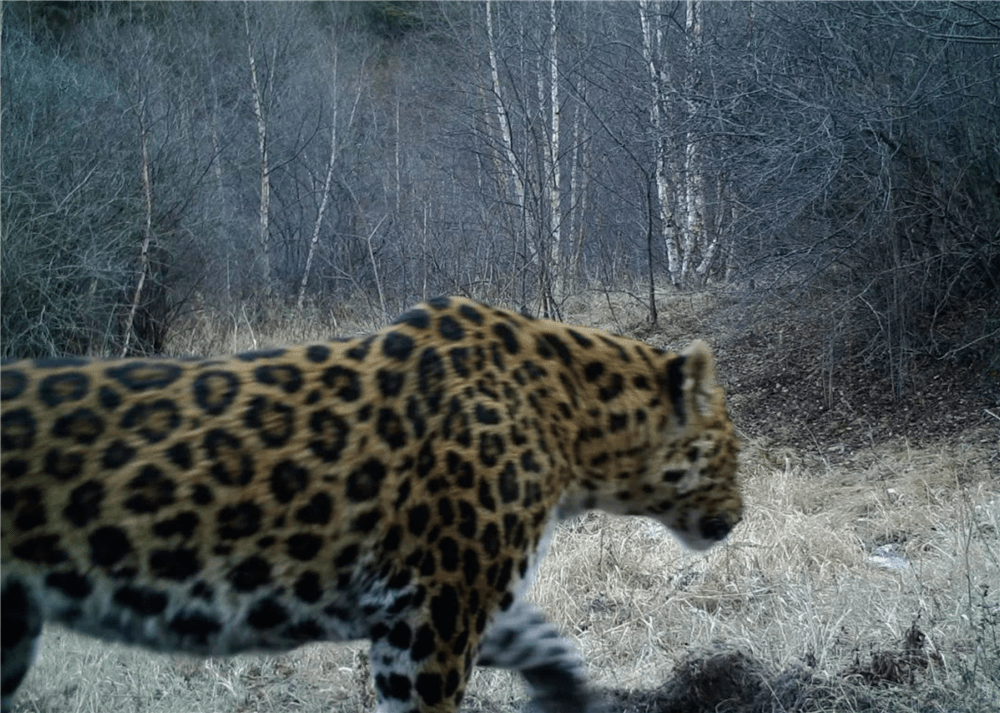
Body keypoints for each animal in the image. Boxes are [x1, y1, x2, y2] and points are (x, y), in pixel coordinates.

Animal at [1, 294, 744, 712]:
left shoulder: (443, 601)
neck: (578, 425)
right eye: (733, 449)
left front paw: (570, 696)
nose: (739, 516)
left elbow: (546, 639)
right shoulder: (435, 611)